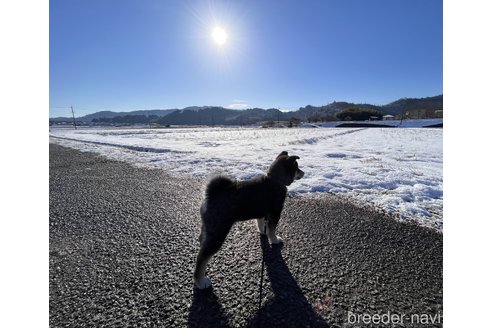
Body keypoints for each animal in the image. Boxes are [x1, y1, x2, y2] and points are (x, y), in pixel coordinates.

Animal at [193, 150, 304, 288]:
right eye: (297, 168)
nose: (303, 173)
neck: (275, 179)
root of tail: (211, 194)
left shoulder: (262, 213)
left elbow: (261, 224)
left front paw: (263, 232)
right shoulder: (275, 212)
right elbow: (272, 229)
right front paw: (274, 240)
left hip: (209, 227)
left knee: (202, 241)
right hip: (218, 232)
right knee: (202, 257)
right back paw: (201, 281)